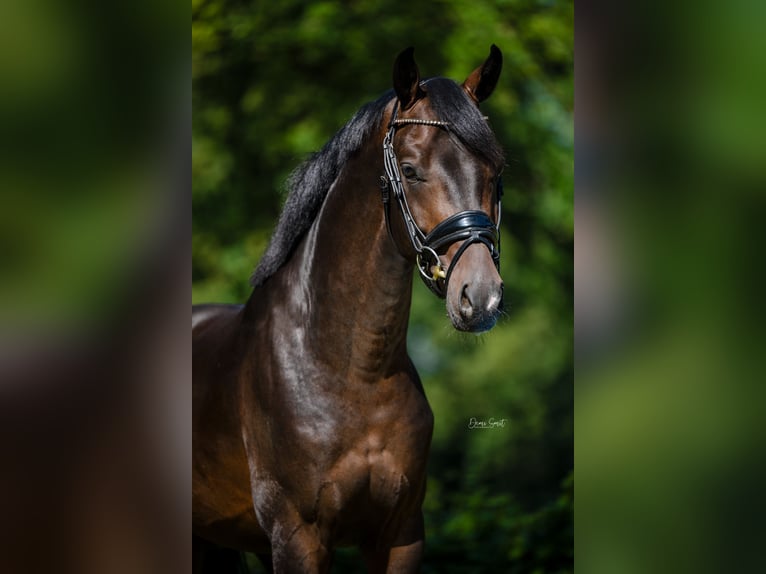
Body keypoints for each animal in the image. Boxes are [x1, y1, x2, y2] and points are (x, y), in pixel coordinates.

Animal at [192, 46, 508, 574]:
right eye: (409, 169)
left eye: (495, 174)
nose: (480, 296)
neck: (349, 371)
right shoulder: (297, 538)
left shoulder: (400, 535)